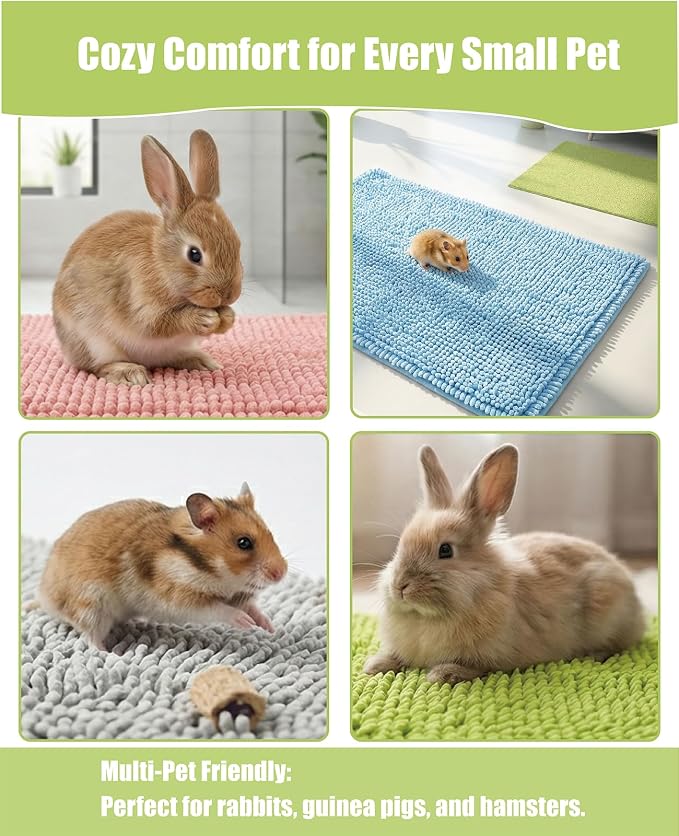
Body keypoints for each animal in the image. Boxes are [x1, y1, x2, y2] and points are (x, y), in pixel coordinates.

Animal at [34, 483, 287, 651]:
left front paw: (268, 626)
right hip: (90, 606)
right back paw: (111, 654)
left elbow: (251, 607)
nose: (281, 574)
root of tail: (44, 596)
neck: (210, 571)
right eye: (244, 543)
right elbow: (219, 609)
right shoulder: (179, 597)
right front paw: (246, 623)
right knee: (89, 636)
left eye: (271, 534)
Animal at [52, 129, 243, 386]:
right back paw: (130, 373)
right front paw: (206, 319)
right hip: (93, 342)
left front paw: (227, 317)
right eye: (194, 254)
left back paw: (202, 361)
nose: (229, 294)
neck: (161, 263)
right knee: (98, 366)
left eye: (238, 244)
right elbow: (159, 323)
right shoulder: (141, 305)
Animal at [364, 444, 646, 686]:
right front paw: (375, 665)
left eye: (445, 550)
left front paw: (443, 674)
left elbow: (476, 666)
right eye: (401, 544)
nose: (400, 586)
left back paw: (595, 655)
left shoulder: (494, 656)